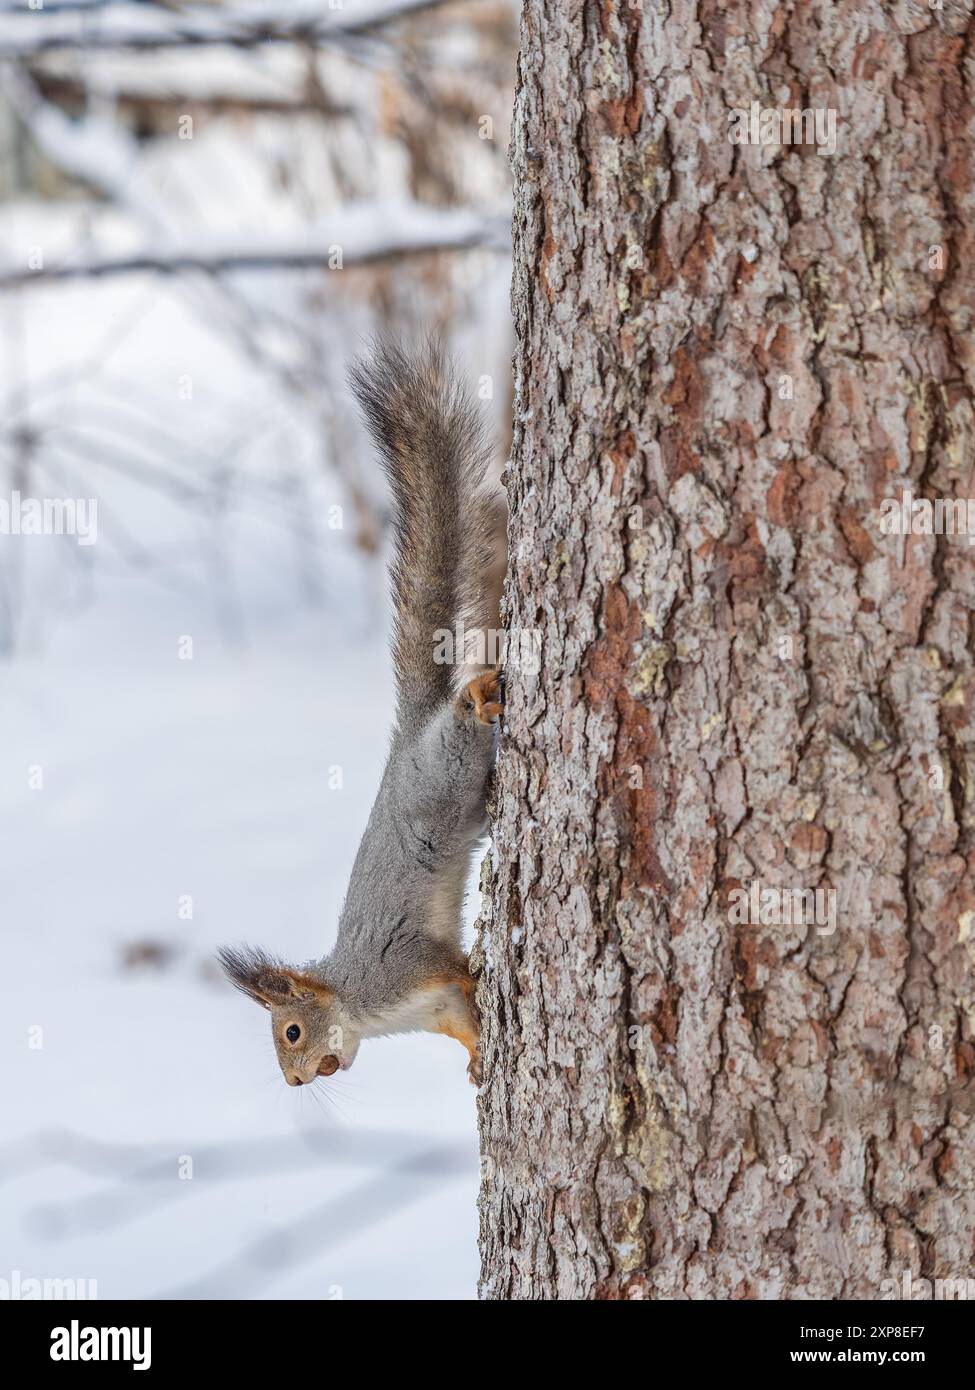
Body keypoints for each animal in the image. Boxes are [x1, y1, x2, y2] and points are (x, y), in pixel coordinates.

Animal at [218, 341, 506, 1088]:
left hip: (446, 769)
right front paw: (477, 1062)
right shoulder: (434, 1009)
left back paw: (479, 694)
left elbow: (451, 966)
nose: (295, 1082)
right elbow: (465, 1023)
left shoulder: (403, 966)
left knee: (463, 718)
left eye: (291, 1031)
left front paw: (477, 968)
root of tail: (409, 737)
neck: (360, 1003)